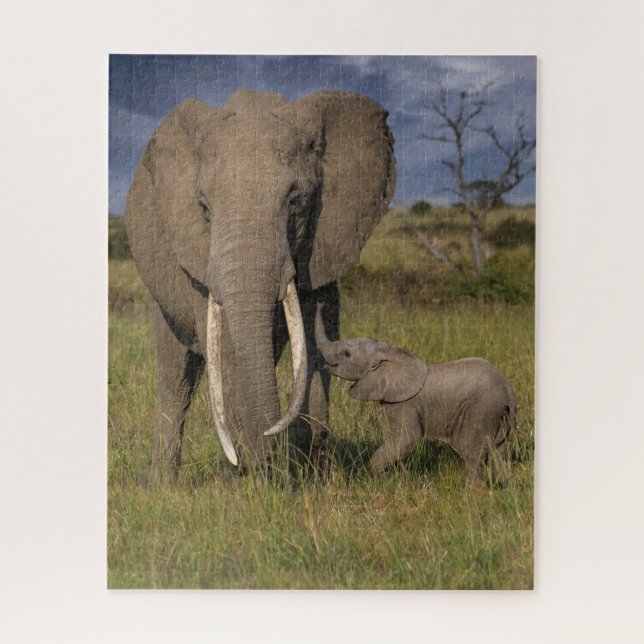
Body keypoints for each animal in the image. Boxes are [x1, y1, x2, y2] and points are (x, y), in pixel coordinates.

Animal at [125, 88, 396, 480]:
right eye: (204, 208)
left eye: (296, 202)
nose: (268, 458)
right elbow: (226, 352)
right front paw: (254, 481)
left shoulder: (323, 244)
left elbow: (316, 343)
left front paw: (315, 479)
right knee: (177, 375)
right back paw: (163, 484)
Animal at [314, 305, 517, 482]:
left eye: (346, 354)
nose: (321, 304)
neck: (390, 353)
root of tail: (508, 389)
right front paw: (396, 478)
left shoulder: (403, 402)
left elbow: (407, 438)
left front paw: (383, 480)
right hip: (500, 414)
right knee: (498, 452)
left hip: (482, 409)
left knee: (472, 453)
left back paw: (472, 491)